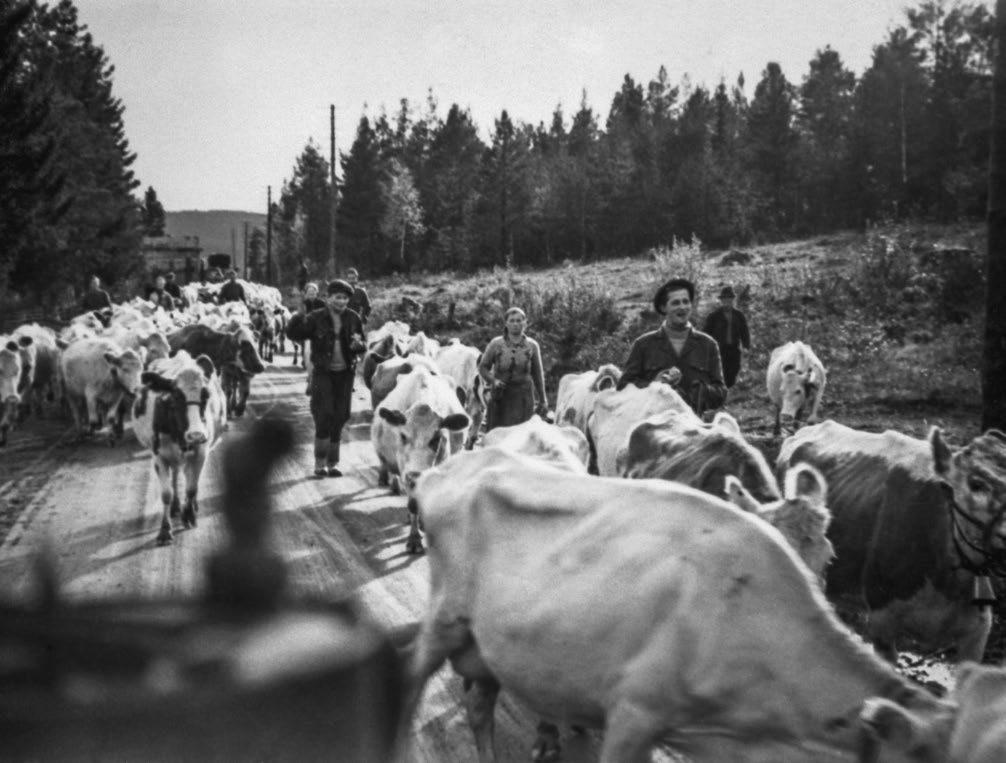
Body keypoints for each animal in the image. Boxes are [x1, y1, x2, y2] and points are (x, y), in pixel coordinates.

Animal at [132, 350, 227, 543]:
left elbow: (191, 488)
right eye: (176, 397)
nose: (196, 434)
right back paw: (176, 507)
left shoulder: (200, 454)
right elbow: (166, 494)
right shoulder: (159, 457)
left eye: (206, 395)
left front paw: (189, 516)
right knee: (175, 476)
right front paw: (165, 530)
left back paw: (191, 506)